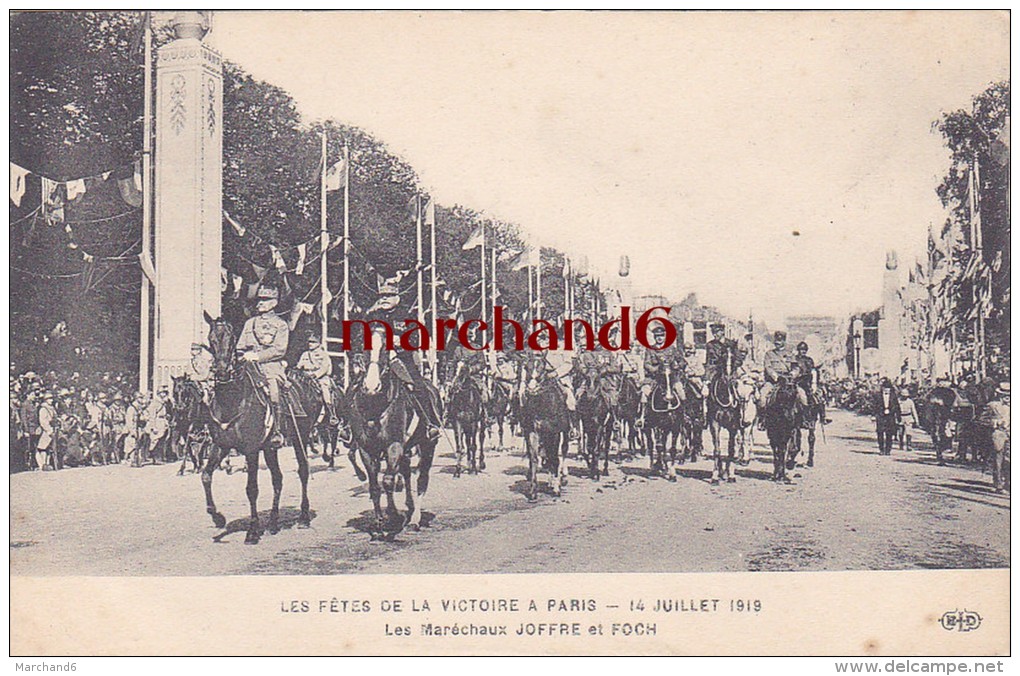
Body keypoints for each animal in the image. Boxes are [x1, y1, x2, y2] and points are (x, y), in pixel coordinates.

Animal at [199, 314, 322, 546]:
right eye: (211, 340)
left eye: (232, 339)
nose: (222, 372)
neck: (232, 399)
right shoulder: (221, 445)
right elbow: (206, 476)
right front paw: (218, 518)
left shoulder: (251, 450)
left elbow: (252, 489)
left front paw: (253, 531)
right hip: (269, 448)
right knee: (278, 479)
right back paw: (273, 523)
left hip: (300, 437)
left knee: (303, 470)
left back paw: (303, 517)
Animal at [346, 344, 438, 538]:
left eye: (384, 349)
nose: (371, 386)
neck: (375, 405)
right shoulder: (366, 449)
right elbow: (375, 486)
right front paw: (379, 523)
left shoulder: (394, 446)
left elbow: (388, 480)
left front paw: (394, 517)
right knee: (406, 472)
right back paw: (409, 508)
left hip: (428, 445)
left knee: (421, 479)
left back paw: (414, 519)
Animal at [518, 354, 575, 501]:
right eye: (526, 367)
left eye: (542, 369)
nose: (531, 389)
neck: (543, 404)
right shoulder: (533, 432)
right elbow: (534, 459)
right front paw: (533, 491)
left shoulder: (554, 433)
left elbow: (555, 458)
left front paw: (556, 488)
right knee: (547, 456)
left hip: (564, 433)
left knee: (562, 452)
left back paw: (561, 478)